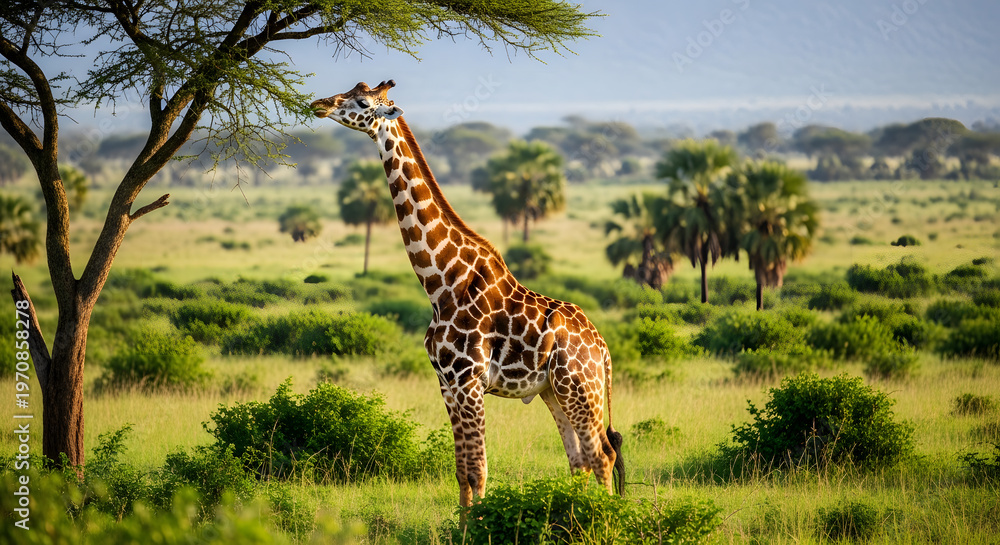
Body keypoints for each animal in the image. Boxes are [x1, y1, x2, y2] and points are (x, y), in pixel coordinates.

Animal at [310, 81, 624, 512]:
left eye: (361, 101)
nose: (319, 104)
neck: (441, 282)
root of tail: (603, 350)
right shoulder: (446, 382)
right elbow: (462, 473)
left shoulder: (469, 380)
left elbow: (479, 470)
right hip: (553, 392)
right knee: (578, 459)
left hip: (579, 387)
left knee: (601, 455)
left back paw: (602, 519)